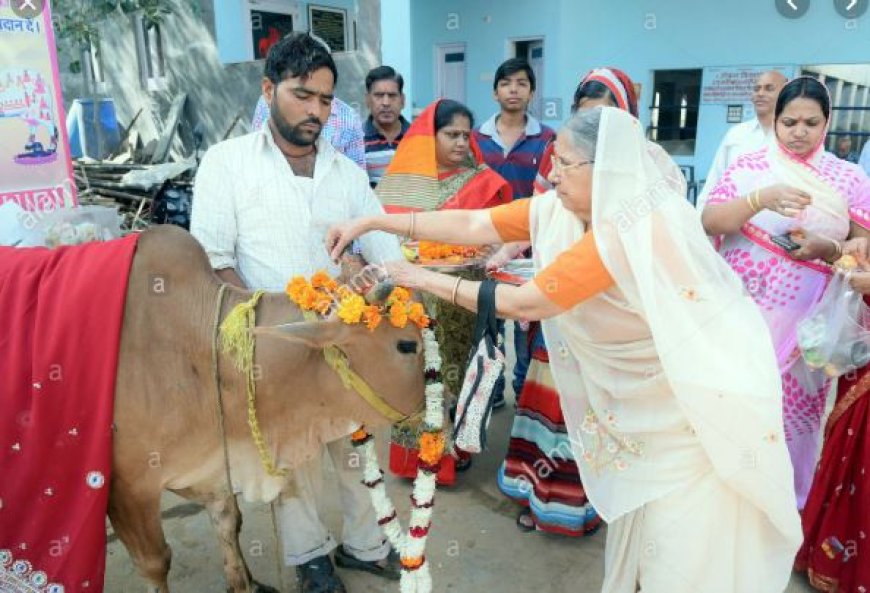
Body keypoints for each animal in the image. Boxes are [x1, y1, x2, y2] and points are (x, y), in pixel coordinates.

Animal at [109, 224, 426, 588]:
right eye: (406, 345)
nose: (428, 408)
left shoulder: (216, 470)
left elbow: (229, 524)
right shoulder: (129, 490)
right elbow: (155, 563)